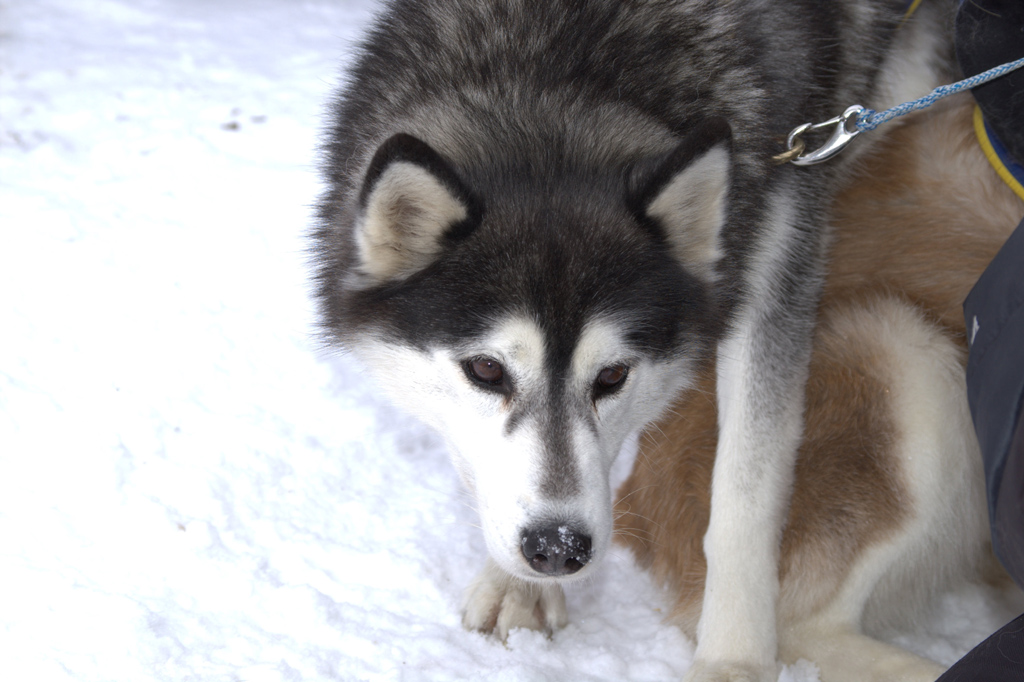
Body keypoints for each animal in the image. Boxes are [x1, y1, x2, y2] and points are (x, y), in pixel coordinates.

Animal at [315, 2, 954, 675]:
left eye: (613, 375)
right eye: (486, 371)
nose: (558, 548)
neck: (558, 71)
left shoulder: (779, 252)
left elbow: (745, 492)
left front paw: (733, 662)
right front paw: (519, 582)